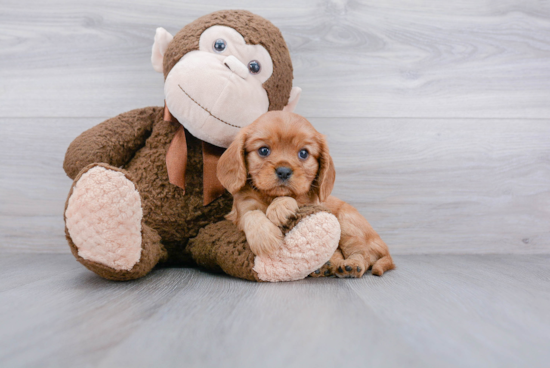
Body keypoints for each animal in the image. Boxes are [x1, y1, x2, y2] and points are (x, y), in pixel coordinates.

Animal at [218, 110, 394, 278]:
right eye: (263, 150)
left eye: (303, 153)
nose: (284, 171)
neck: (271, 196)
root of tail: (384, 246)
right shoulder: (241, 210)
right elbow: (252, 214)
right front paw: (265, 237)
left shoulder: (311, 204)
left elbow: (293, 199)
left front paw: (279, 208)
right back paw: (325, 267)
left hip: (347, 224)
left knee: (364, 255)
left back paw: (351, 266)